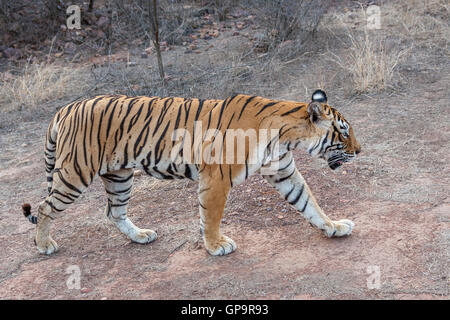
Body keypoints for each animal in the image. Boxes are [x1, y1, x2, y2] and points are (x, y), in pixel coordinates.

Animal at [22, 89, 362, 256]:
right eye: (344, 132)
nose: (360, 150)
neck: (285, 135)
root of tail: (66, 108)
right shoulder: (217, 178)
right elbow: (211, 216)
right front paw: (216, 246)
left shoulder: (283, 172)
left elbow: (309, 202)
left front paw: (333, 227)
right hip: (75, 172)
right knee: (44, 206)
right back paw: (44, 245)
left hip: (119, 175)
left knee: (113, 212)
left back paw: (141, 236)